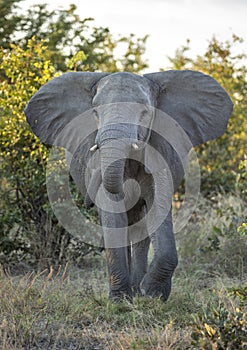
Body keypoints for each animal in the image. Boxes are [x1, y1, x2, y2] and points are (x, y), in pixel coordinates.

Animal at [24, 70, 233, 300]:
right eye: (95, 112)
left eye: (145, 112)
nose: (87, 202)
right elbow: (113, 209)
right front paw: (120, 300)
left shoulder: (160, 148)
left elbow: (157, 205)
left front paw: (152, 294)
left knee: (140, 228)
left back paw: (138, 291)